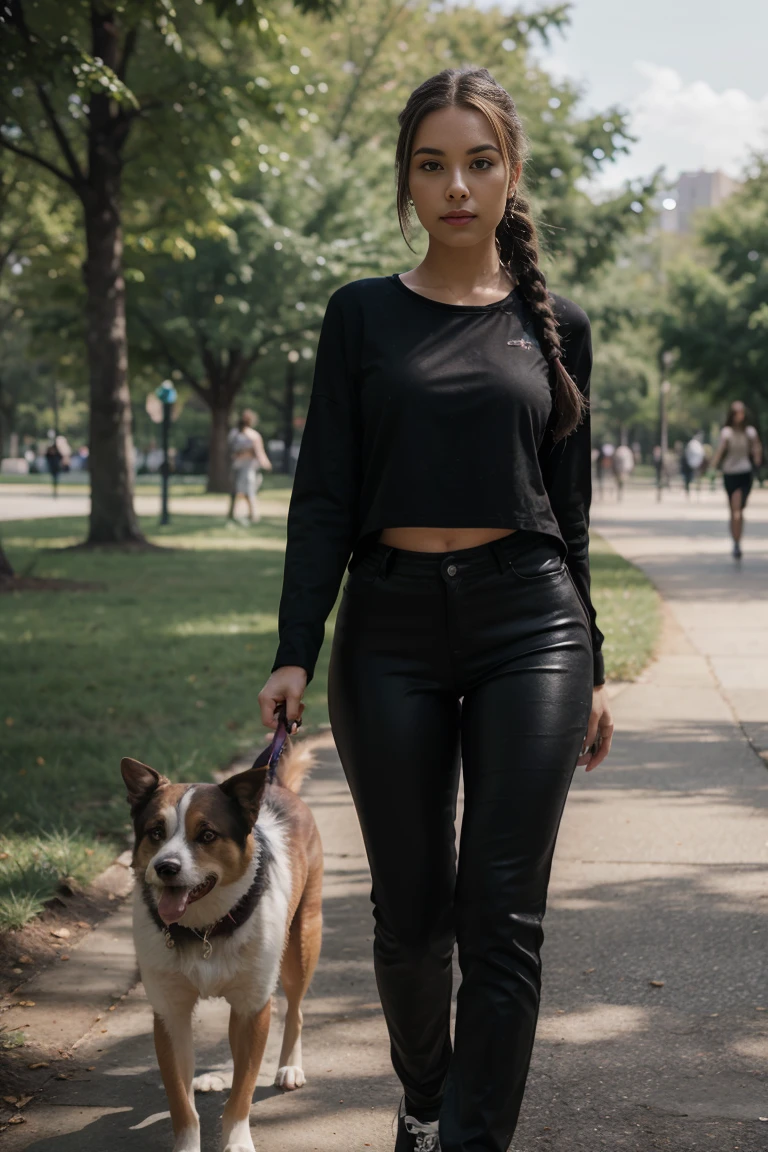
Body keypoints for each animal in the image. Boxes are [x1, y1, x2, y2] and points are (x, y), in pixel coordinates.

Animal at [120, 737, 324, 1152]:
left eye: (208, 835)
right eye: (155, 832)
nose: (165, 867)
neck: (203, 929)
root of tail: (279, 788)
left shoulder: (252, 1009)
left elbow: (242, 1093)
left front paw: (237, 1141)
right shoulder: (169, 1013)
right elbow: (181, 1101)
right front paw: (187, 1143)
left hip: (302, 942)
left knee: (295, 1008)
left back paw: (290, 1066)